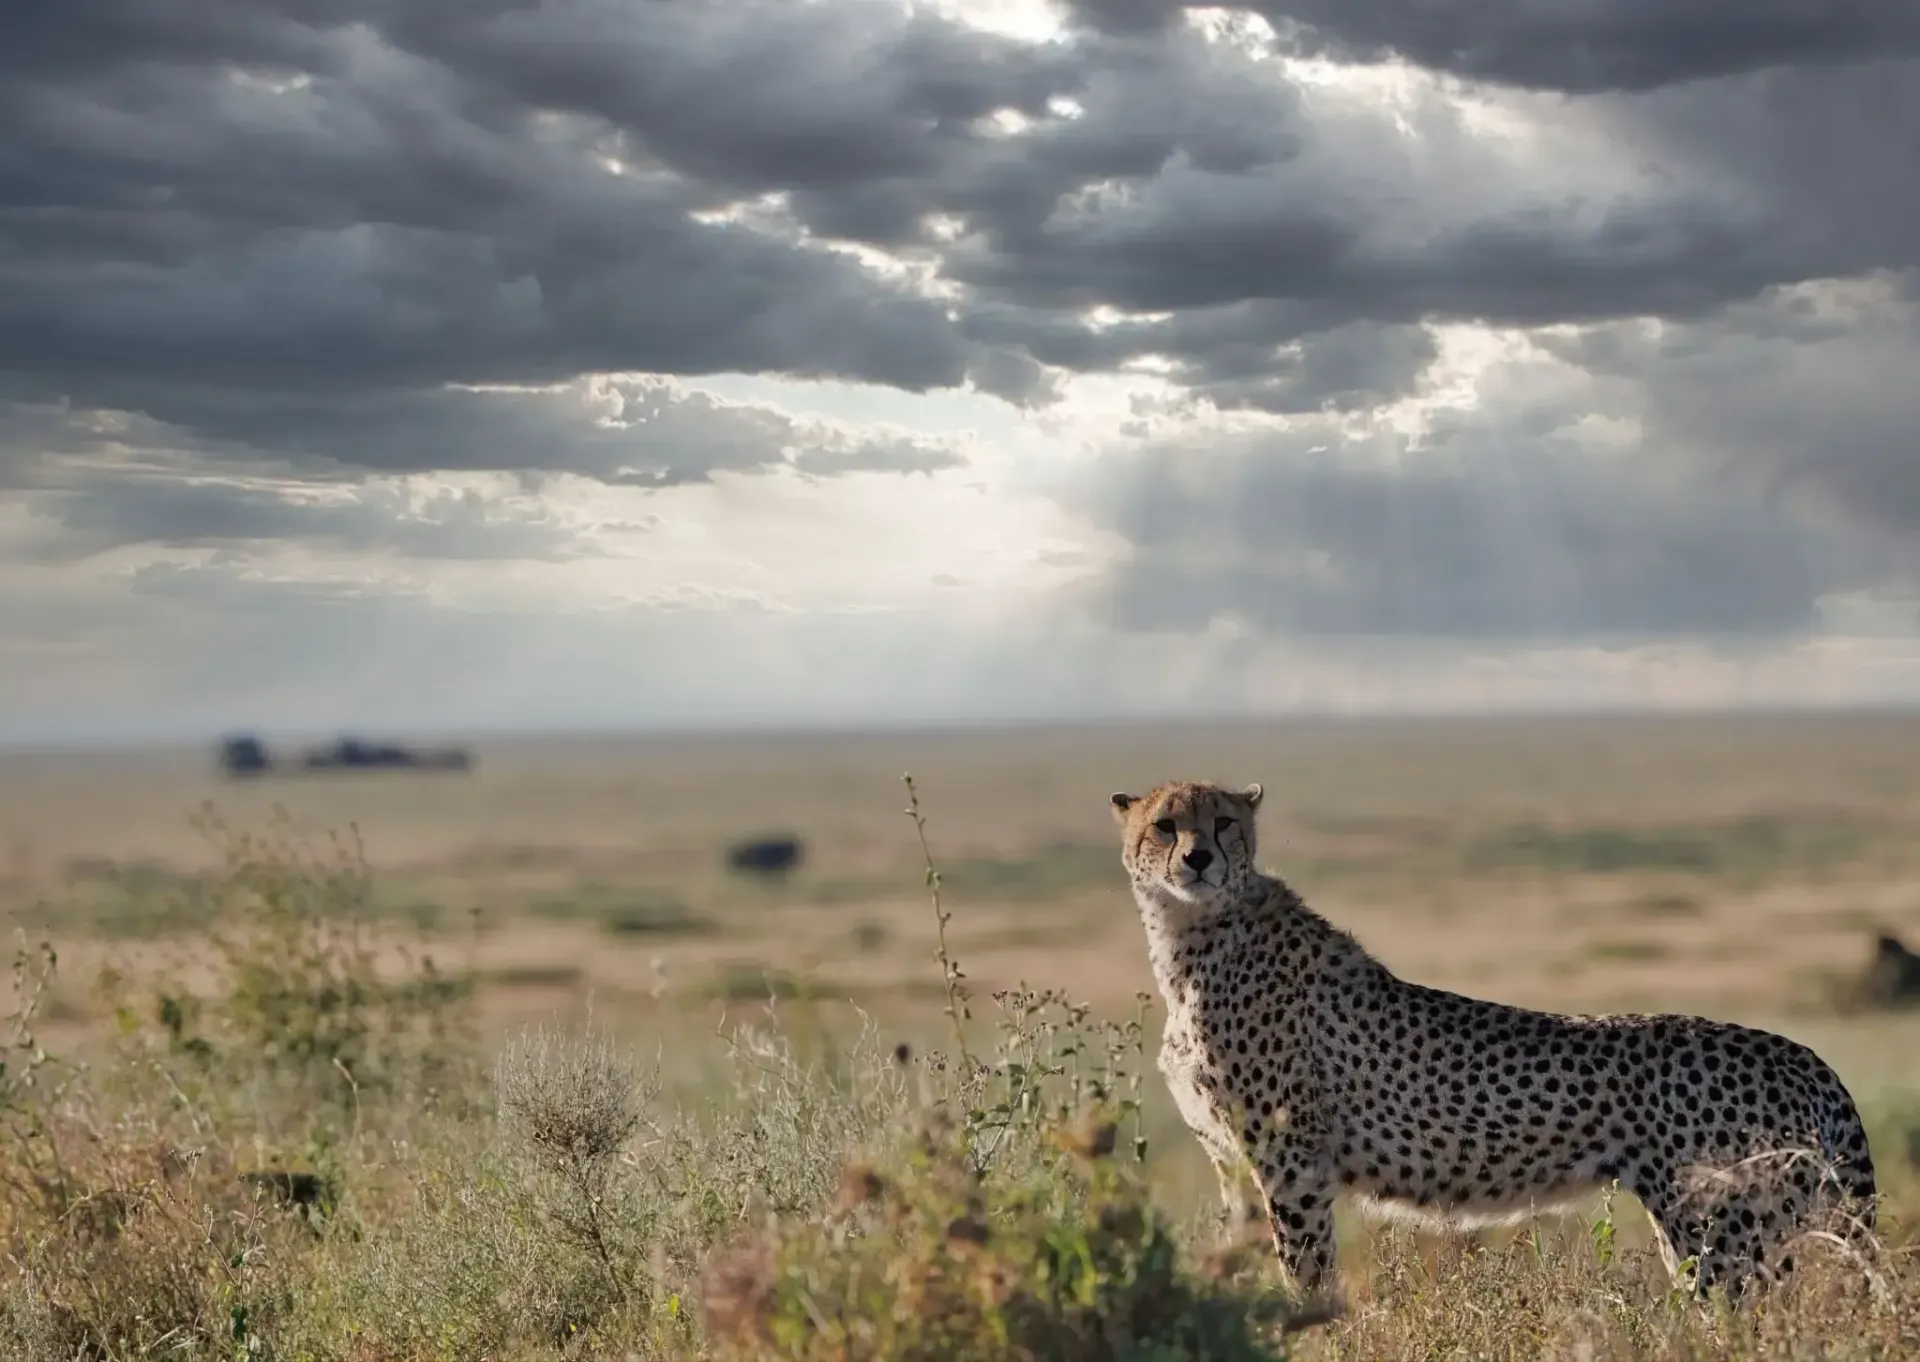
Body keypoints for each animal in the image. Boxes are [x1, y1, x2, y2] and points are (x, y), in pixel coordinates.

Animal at [1110, 777, 1878, 1303]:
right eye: (1165, 825)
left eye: (1224, 822)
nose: (1199, 859)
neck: (1192, 938)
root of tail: (1801, 1054)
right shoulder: (1235, 1161)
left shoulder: (1291, 1160)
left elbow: (1306, 1269)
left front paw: (1306, 1327)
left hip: (1723, 1235)